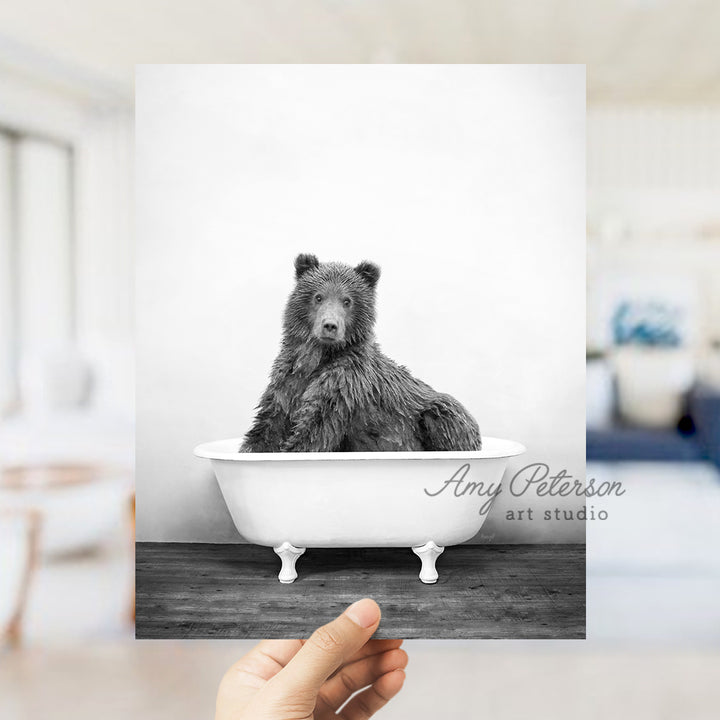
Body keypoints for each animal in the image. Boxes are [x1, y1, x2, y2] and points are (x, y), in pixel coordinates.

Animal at [239, 256, 480, 452]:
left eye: (347, 301)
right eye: (318, 297)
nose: (330, 325)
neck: (318, 356)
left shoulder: (346, 382)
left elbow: (316, 428)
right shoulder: (288, 379)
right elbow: (270, 422)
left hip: (437, 412)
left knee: (444, 416)